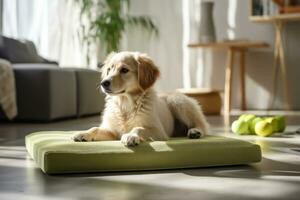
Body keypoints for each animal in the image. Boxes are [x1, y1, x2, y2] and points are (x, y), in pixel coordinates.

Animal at [72, 51, 209, 145]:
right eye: (109, 69)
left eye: (124, 70)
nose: (103, 83)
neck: (125, 105)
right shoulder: (112, 131)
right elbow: (95, 128)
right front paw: (84, 133)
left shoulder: (159, 131)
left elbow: (139, 127)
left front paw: (131, 136)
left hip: (177, 102)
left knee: (202, 124)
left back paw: (195, 132)